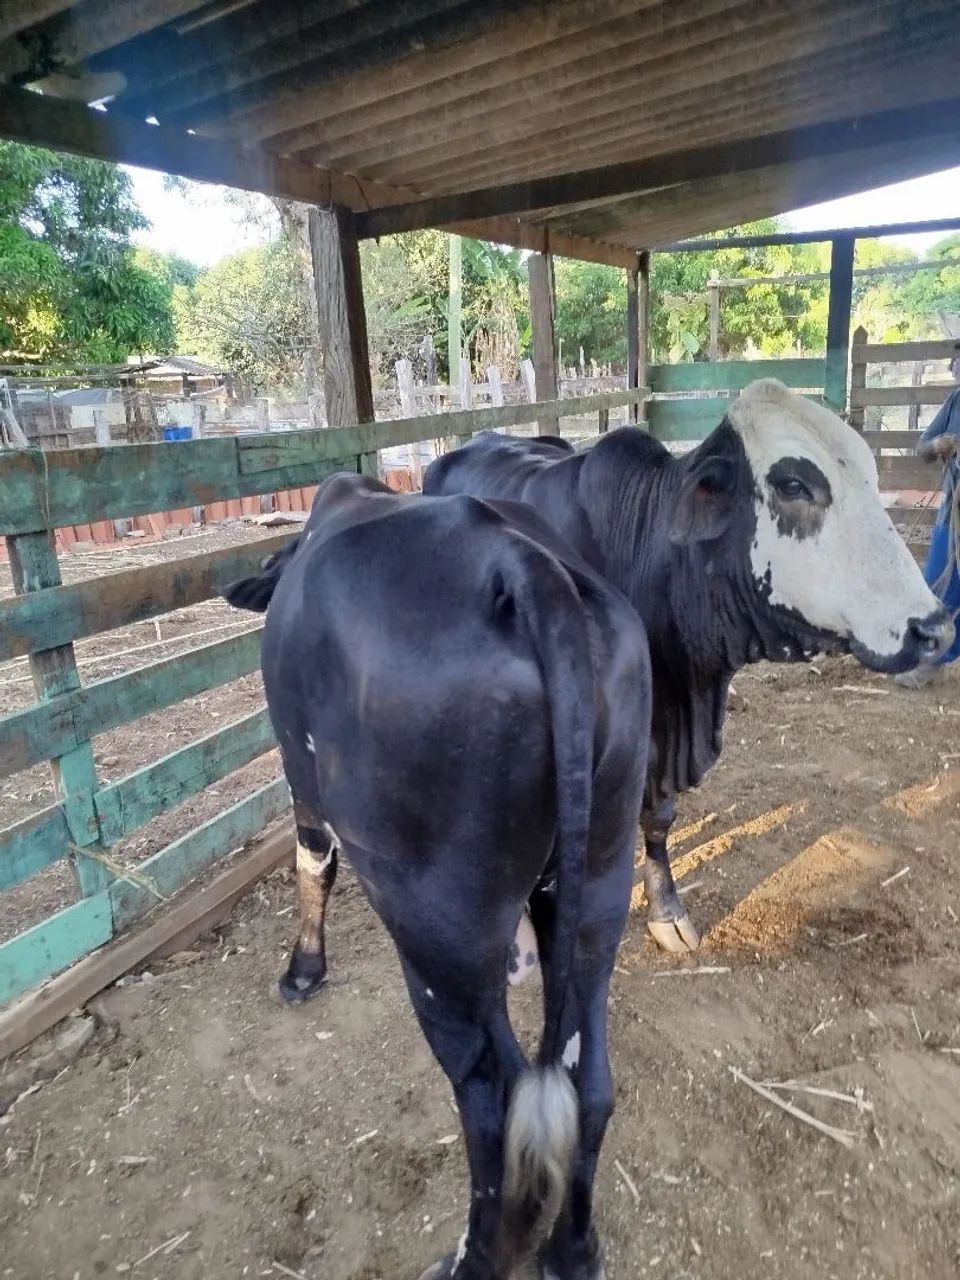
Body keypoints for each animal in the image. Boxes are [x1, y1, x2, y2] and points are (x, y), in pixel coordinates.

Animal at [225, 472, 651, 1280]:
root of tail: (522, 567)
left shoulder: (301, 778)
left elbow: (311, 862)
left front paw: (302, 971)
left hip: (436, 927)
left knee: (493, 1094)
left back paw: (474, 1258)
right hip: (600, 881)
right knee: (587, 1079)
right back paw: (572, 1249)